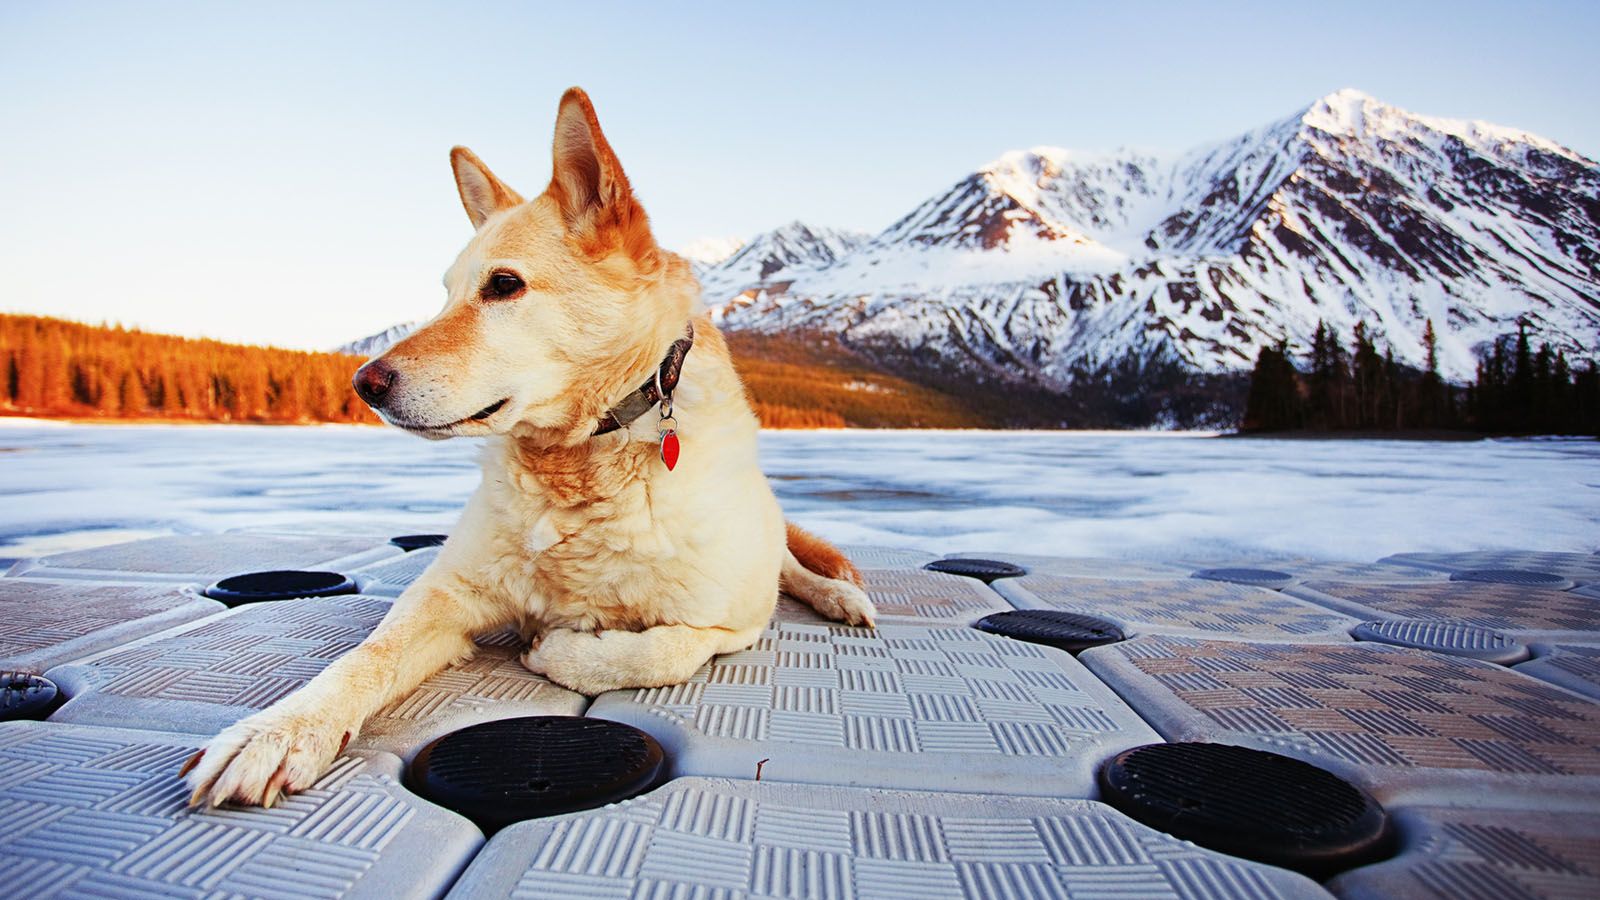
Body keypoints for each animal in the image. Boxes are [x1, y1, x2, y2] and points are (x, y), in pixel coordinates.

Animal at [190, 87, 889, 807]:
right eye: (446, 293)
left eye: (504, 284)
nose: (363, 383)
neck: (580, 465)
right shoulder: (445, 593)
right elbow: (366, 657)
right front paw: (278, 731)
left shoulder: (733, 622)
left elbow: (660, 651)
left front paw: (563, 652)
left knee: (790, 568)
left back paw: (839, 595)